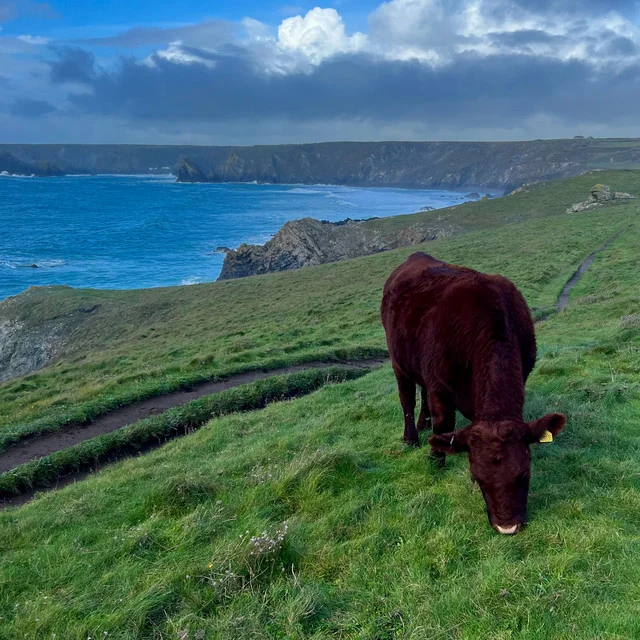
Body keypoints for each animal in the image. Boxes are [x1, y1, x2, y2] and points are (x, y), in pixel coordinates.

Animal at [381, 252, 566, 534]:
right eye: (479, 479)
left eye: (524, 473)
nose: (507, 527)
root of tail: (416, 256)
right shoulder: (440, 387)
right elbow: (444, 423)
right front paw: (436, 459)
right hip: (398, 361)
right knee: (407, 398)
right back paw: (411, 436)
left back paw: (423, 423)